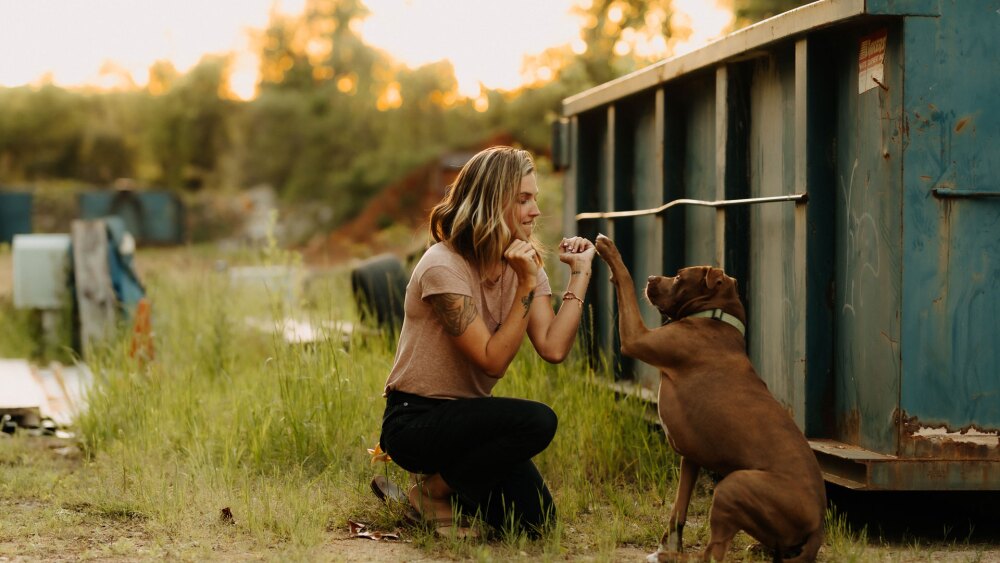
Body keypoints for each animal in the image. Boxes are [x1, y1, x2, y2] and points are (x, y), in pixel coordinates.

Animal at [596, 236, 824, 560]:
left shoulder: (636, 338)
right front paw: (668, 547)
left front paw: (608, 250)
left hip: (732, 486)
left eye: (679, 276)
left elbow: (625, 282)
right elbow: (678, 510)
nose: (651, 278)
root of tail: (819, 525)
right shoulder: (690, 458)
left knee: (714, 551)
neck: (716, 317)